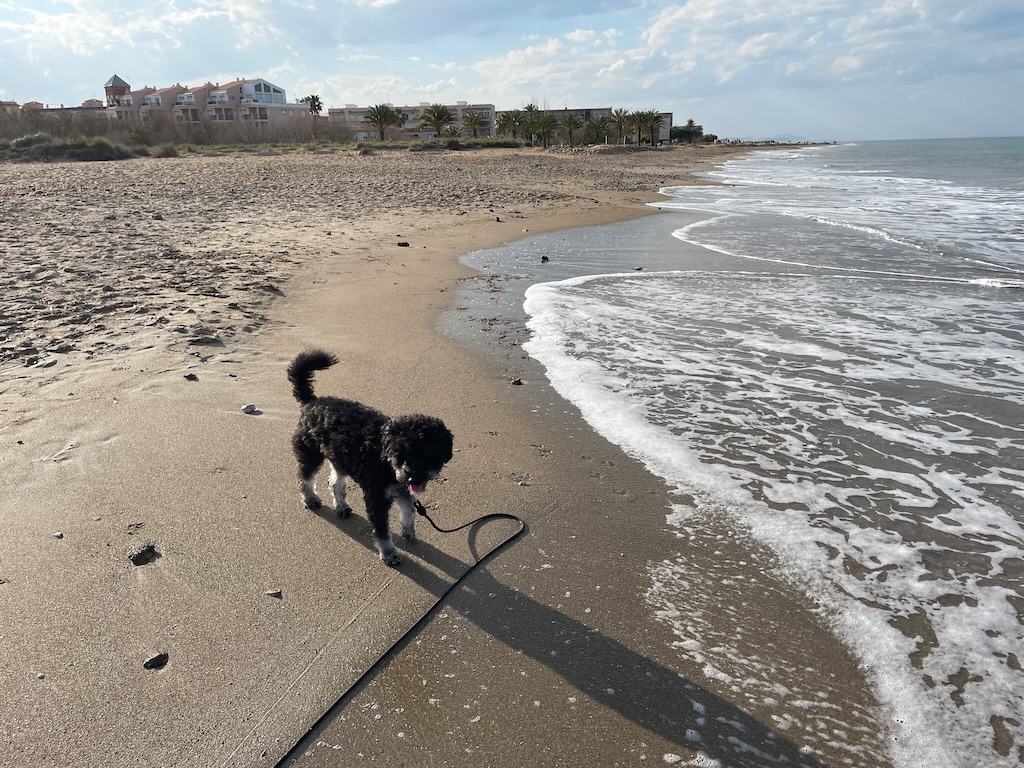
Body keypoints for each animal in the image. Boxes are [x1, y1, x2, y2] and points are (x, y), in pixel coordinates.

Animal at [284, 348, 452, 565]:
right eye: (400, 452)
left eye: (429, 454)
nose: (413, 477)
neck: (384, 458)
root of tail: (311, 402)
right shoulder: (377, 498)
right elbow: (382, 531)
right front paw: (389, 553)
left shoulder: (400, 489)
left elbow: (409, 510)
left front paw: (408, 532)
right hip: (310, 454)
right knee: (305, 478)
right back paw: (311, 499)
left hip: (340, 459)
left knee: (334, 483)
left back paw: (341, 507)